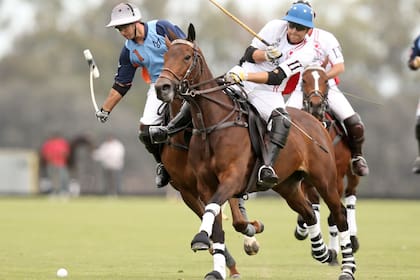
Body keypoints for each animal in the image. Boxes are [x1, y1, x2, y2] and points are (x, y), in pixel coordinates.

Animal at [296, 64, 360, 254]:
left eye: (326, 80)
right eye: (304, 80)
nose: (316, 105)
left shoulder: (336, 177)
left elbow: (334, 214)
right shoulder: (308, 179)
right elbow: (312, 205)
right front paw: (303, 228)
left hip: (352, 174)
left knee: (351, 195)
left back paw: (352, 238)